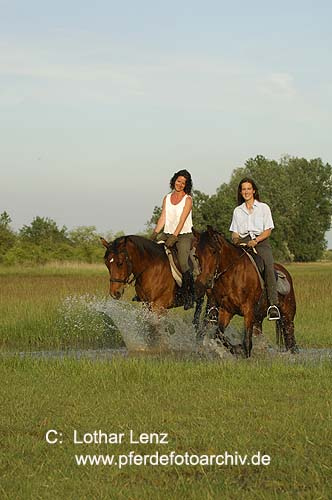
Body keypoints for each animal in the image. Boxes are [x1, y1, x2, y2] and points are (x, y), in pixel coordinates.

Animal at [192, 227, 298, 360]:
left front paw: (245, 356)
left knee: (291, 342)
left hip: (287, 318)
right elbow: (219, 335)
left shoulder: (248, 310)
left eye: (214, 251)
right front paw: (237, 349)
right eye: (196, 255)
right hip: (258, 319)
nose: (204, 282)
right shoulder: (226, 311)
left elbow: (247, 340)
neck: (232, 274)